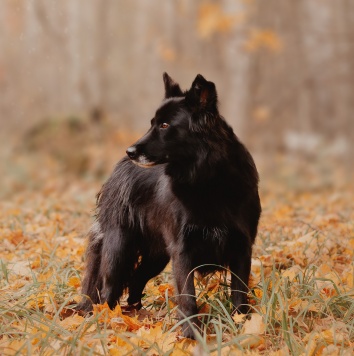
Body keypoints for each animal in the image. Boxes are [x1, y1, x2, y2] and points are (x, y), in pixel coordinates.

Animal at [76, 73, 260, 338]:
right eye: (152, 123)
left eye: (164, 125)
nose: (130, 151)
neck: (207, 180)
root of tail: (119, 167)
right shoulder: (182, 251)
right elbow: (188, 297)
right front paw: (191, 336)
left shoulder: (242, 248)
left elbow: (239, 294)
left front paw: (242, 326)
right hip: (119, 246)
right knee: (108, 290)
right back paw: (108, 322)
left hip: (157, 255)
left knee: (136, 281)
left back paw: (137, 316)